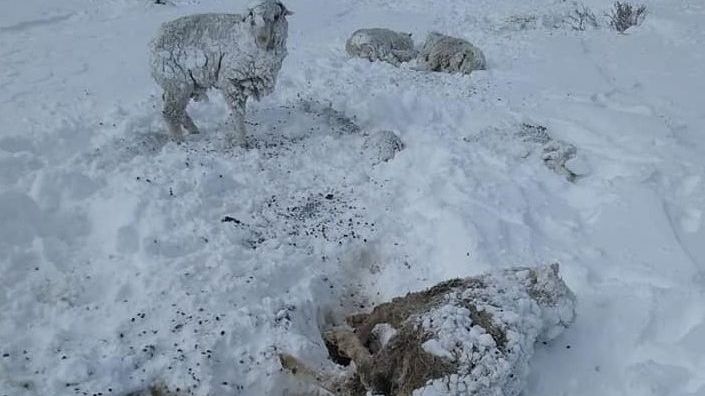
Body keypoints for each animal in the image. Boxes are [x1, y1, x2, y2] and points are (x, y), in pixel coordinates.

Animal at [148, 0, 292, 146]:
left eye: (276, 16)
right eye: (252, 15)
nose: (262, 39)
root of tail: (156, 40)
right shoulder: (231, 81)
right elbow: (238, 113)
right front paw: (242, 141)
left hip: (179, 84)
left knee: (174, 107)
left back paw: (193, 130)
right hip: (177, 82)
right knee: (170, 113)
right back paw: (179, 141)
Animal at [278, 262, 576, 396]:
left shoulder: (415, 304)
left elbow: (378, 312)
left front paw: (352, 328)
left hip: (409, 345)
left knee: (353, 379)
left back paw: (301, 355)